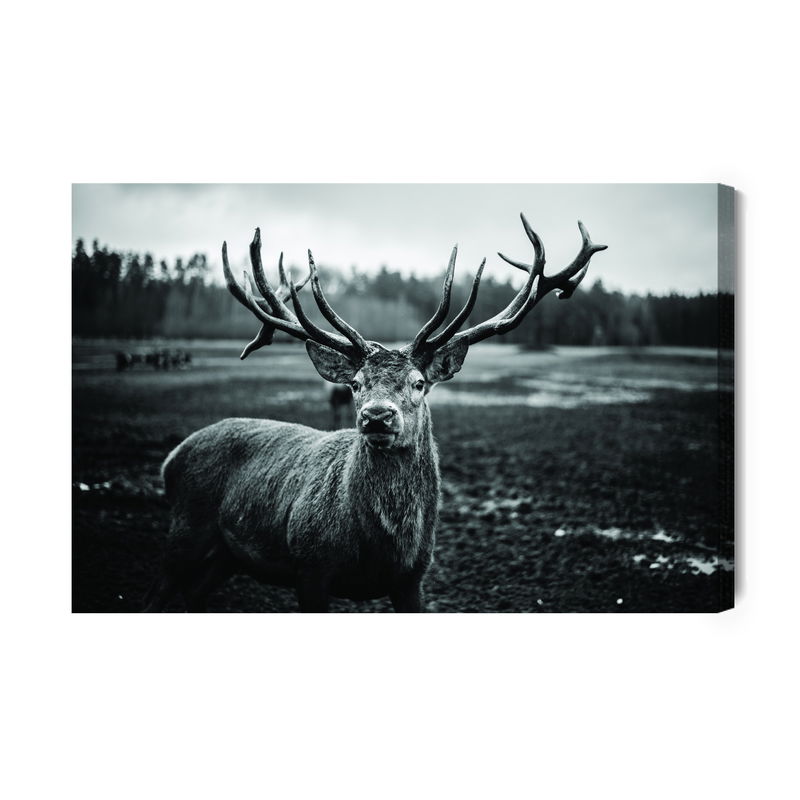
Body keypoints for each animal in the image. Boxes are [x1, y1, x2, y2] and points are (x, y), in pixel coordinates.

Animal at [143, 215, 606, 612]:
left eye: (419, 383)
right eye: (355, 383)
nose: (377, 417)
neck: (381, 549)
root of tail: (171, 458)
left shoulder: (413, 579)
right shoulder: (310, 568)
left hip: (227, 554)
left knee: (195, 596)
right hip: (186, 529)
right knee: (158, 594)